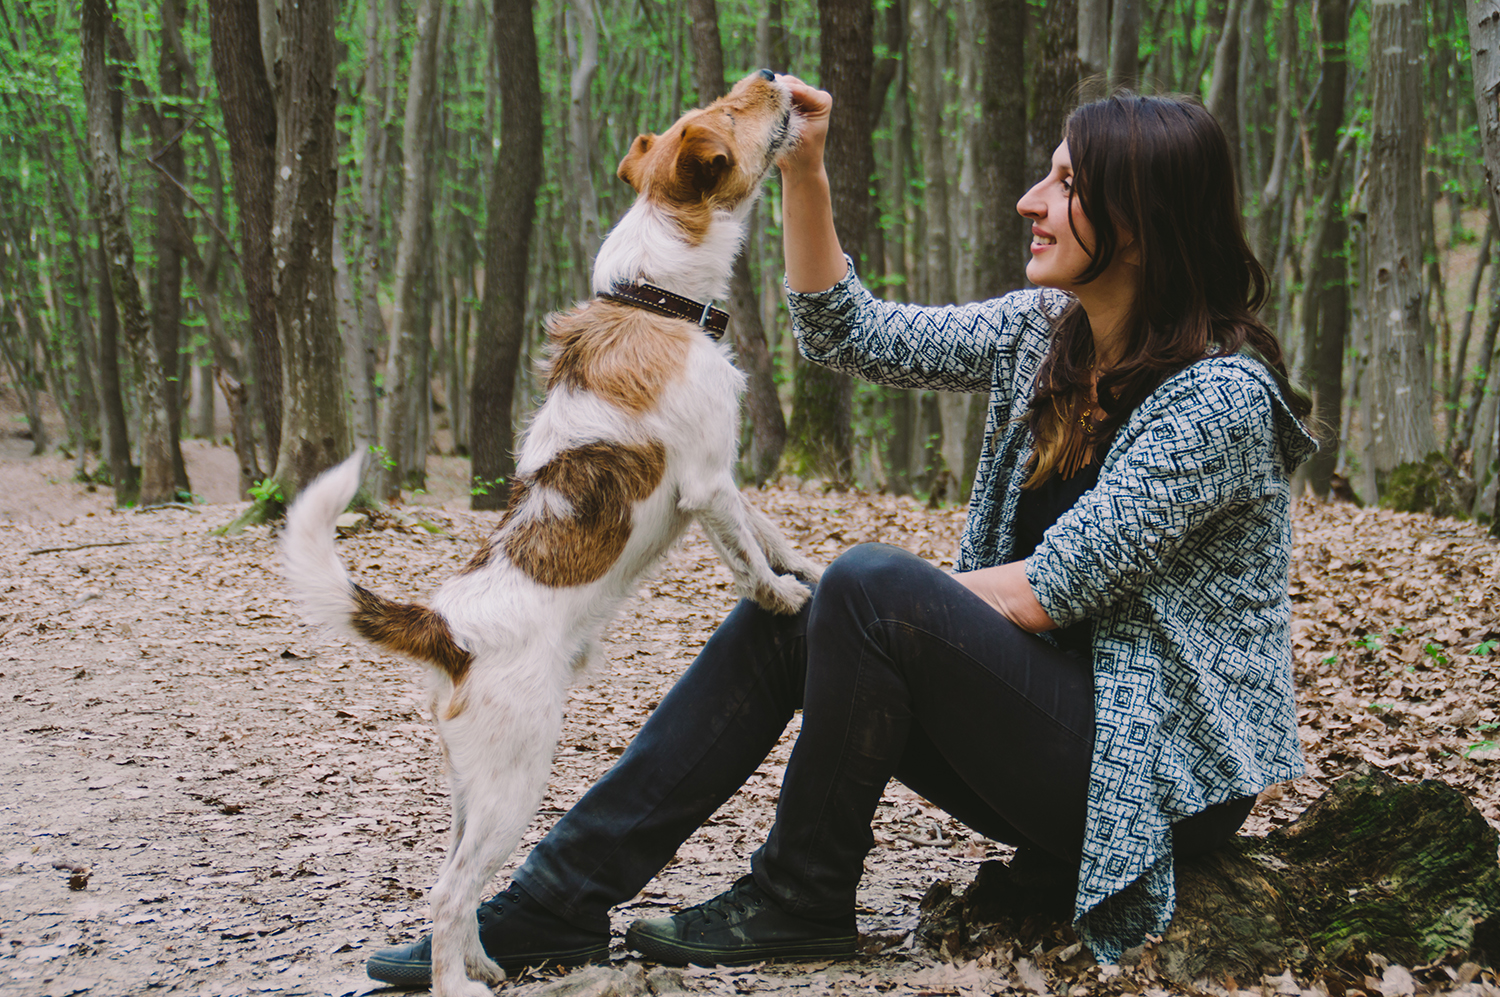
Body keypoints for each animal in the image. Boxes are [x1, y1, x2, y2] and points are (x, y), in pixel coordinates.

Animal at [282, 70, 822, 995]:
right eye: (731, 112)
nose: (770, 76)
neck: (655, 297)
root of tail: (445, 626)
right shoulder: (708, 481)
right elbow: (747, 558)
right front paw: (784, 598)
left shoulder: (727, 479)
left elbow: (769, 527)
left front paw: (805, 565)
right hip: (517, 777)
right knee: (447, 889)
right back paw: (458, 981)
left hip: (472, 786)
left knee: (457, 880)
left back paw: (486, 962)